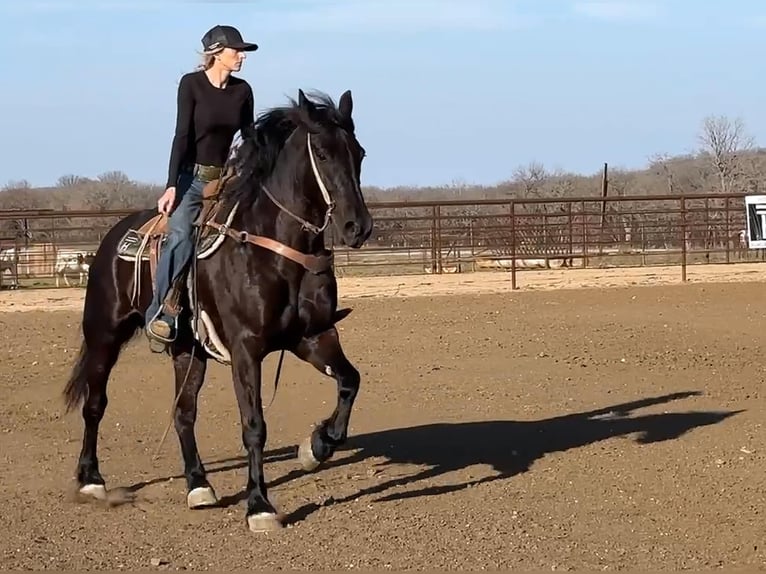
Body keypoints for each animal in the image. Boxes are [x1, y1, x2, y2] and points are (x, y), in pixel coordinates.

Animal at [62, 88, 374, 533]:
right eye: (323, 153)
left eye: (359, 153)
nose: (357, 227)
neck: (277, 248)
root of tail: (113, 236)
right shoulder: (246, 349)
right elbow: (254, 425)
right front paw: (259, 505)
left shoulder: (312, 337)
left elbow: (350, 381)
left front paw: (316, 446)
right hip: (105, 333)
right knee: (95, 403)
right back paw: (91, 480)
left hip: (187, 349)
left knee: (184, 412)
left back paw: (198, 485)